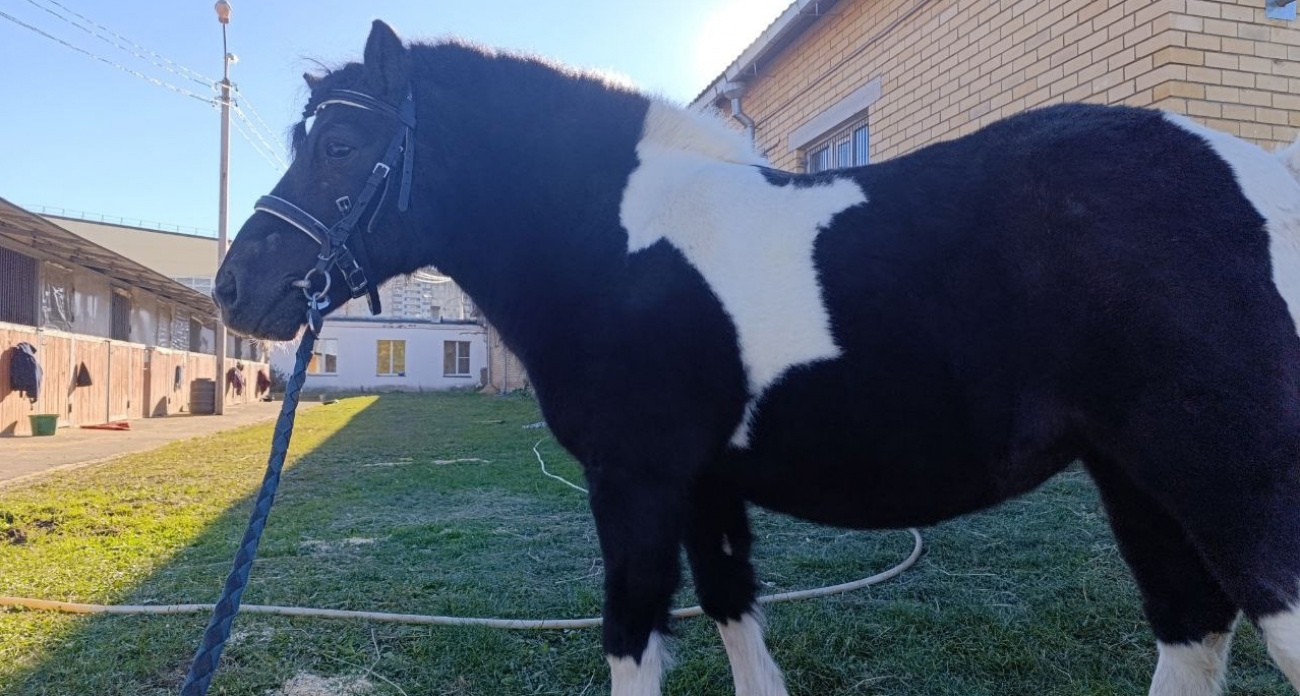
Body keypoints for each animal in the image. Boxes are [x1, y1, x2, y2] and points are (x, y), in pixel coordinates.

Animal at [218, 21, 1300, 696]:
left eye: (342, 147)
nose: (236, 288)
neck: (621, 240)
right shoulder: (705, 488)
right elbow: (735, 617)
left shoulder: (636, 484)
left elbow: (632, 639)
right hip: (1137, 478)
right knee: (1191, 626)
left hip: (1227, 482)